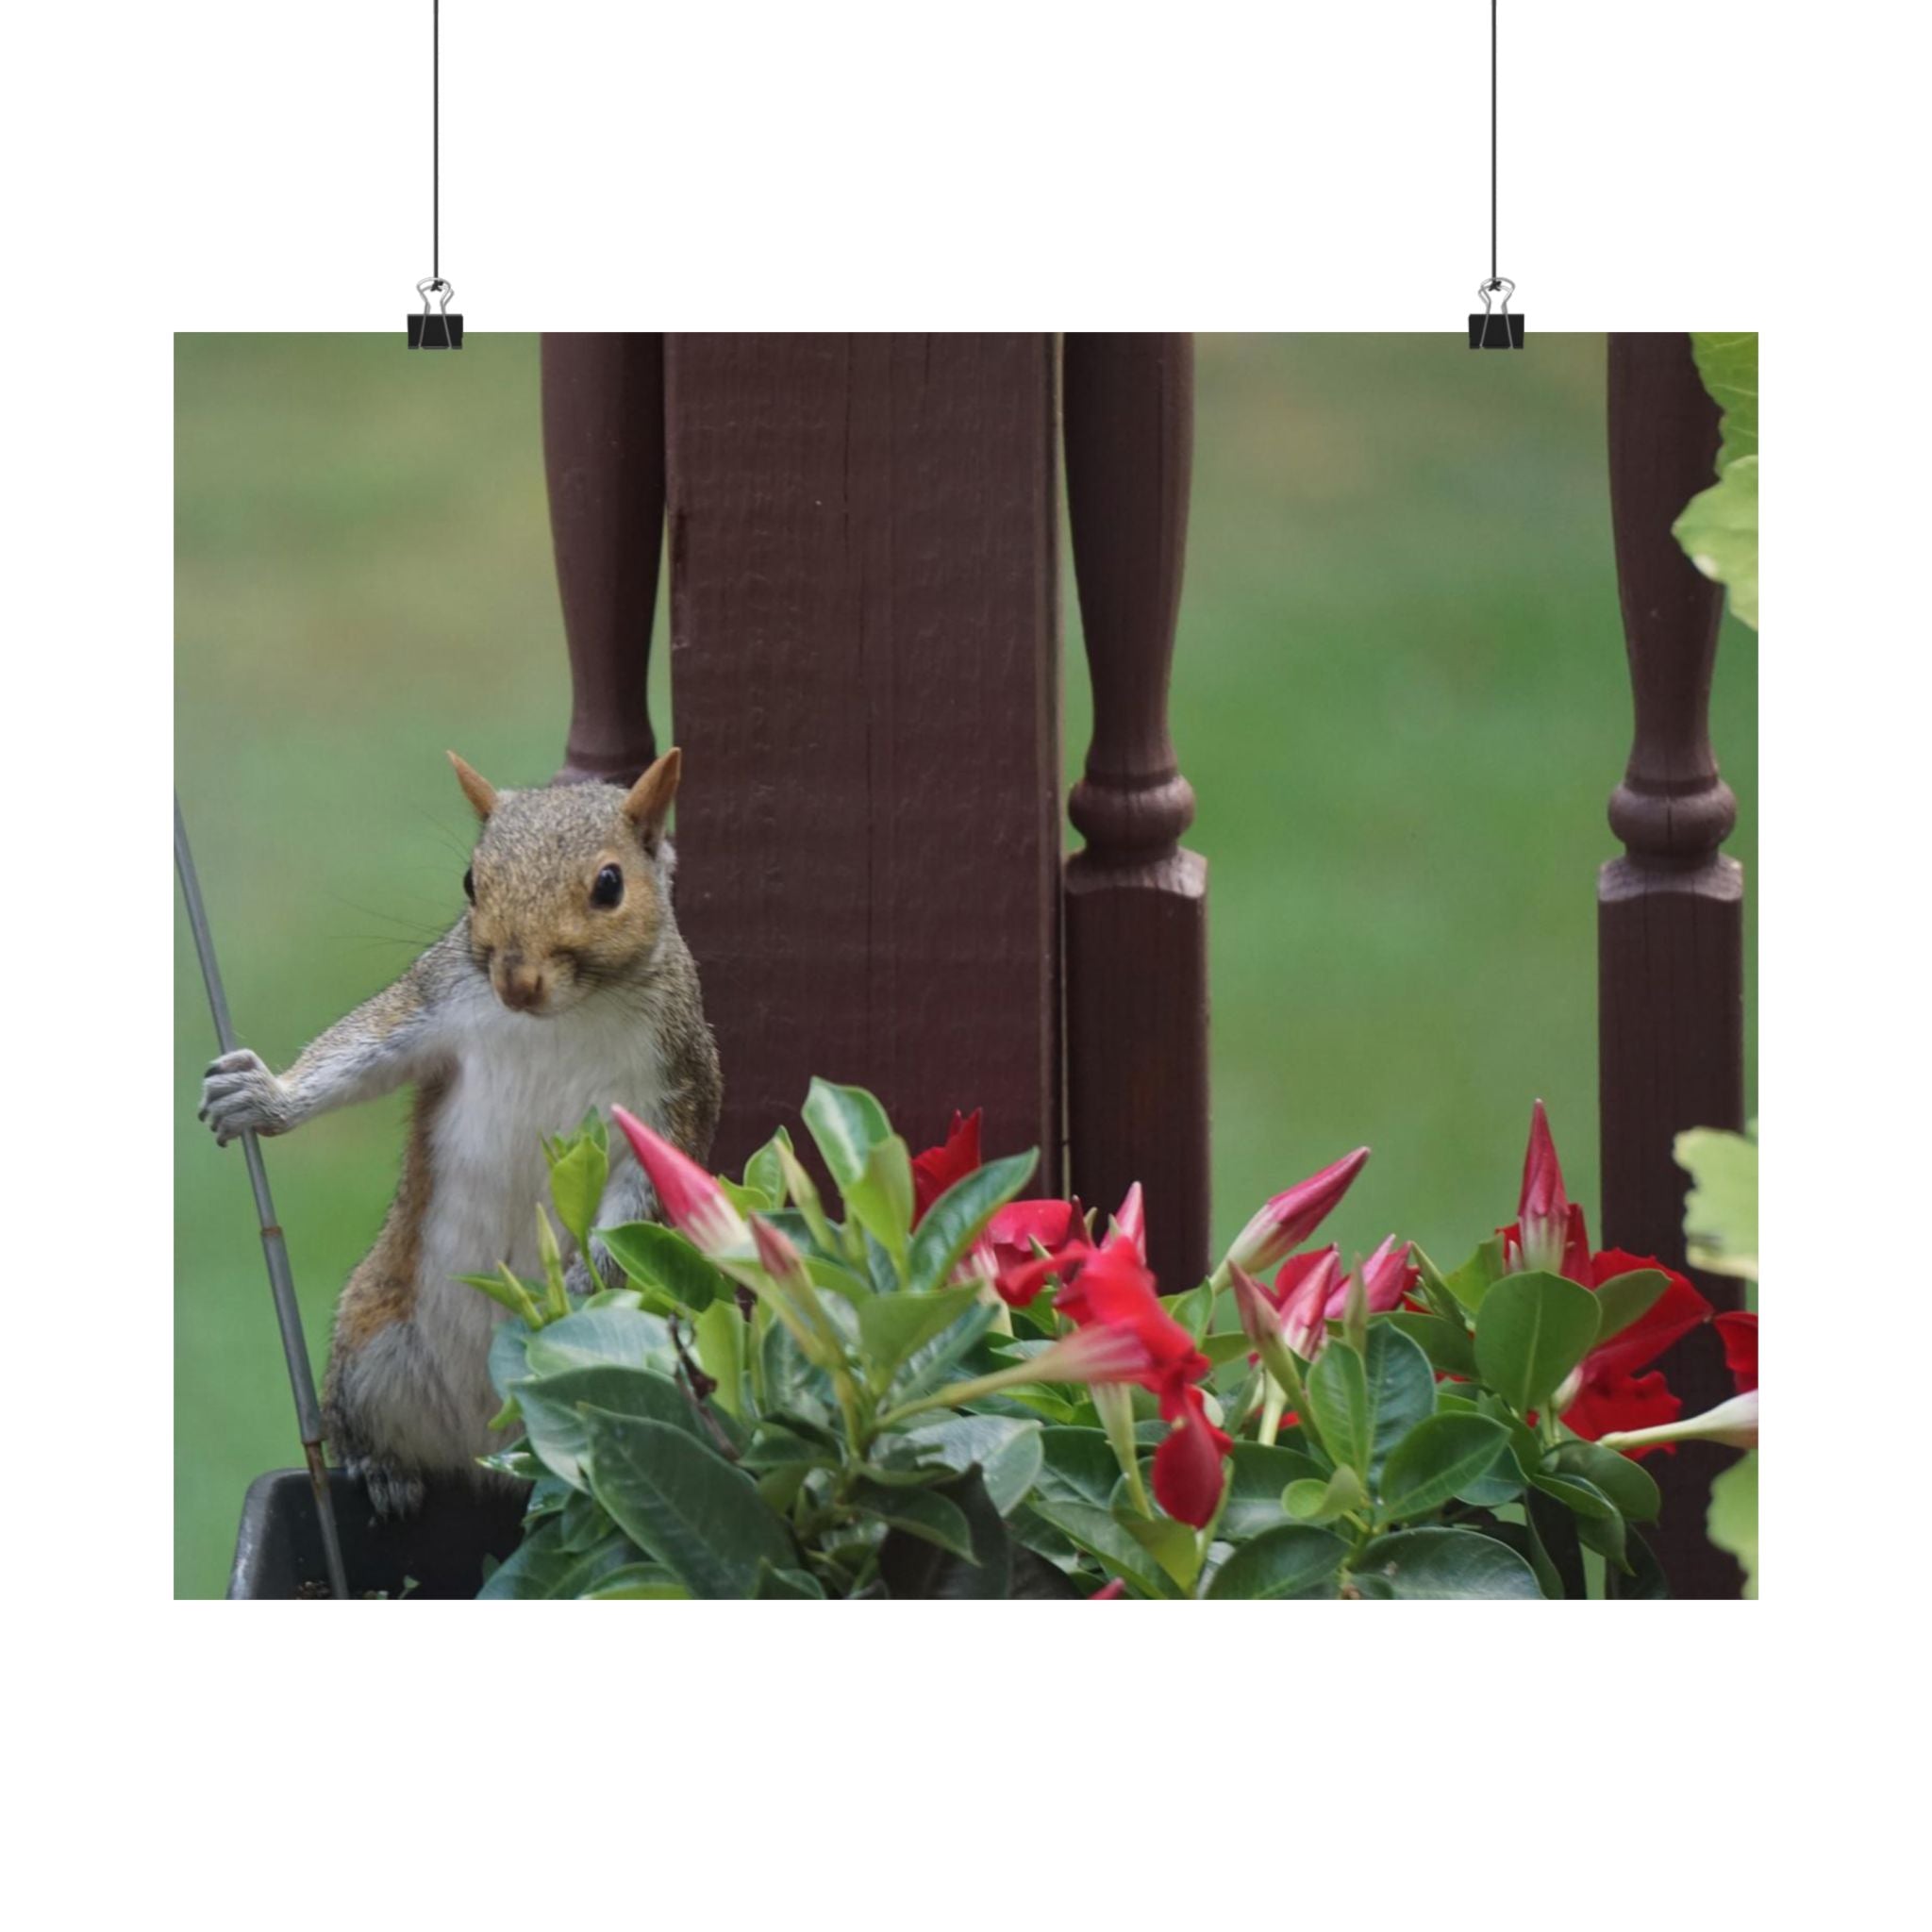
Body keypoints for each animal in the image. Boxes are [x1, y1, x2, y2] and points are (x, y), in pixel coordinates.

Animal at [199, 748, 721, 1516]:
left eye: (609, 884)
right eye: (472, 881)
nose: (516, 982)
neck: (565, 1015)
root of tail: (488, 1451)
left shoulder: (675, 1091)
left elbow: (643, 1194)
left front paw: (575, 1279)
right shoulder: (440, 1001)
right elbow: (359, 1054)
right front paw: (264, 1097)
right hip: (370, 1344)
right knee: (369, 1431)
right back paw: (383, 1473)